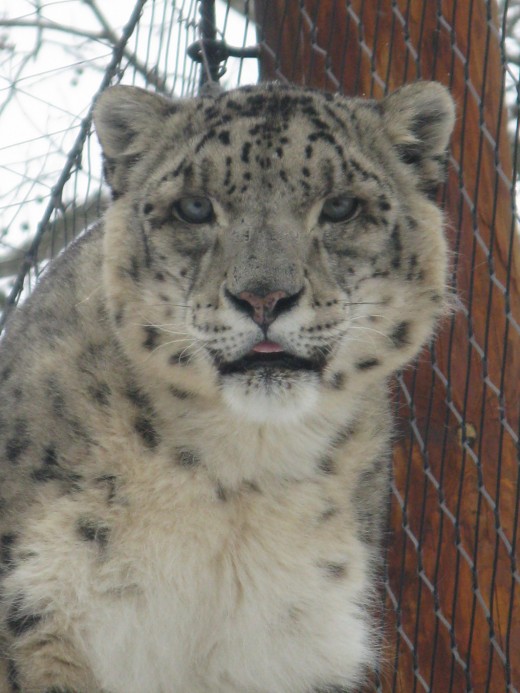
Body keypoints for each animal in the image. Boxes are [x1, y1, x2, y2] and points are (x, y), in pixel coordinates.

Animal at [0, 80, 454, 692]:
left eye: (340, 206)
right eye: (195, 207)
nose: (264, 296)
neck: (242, 475)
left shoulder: (289, 648)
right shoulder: (39, 614)